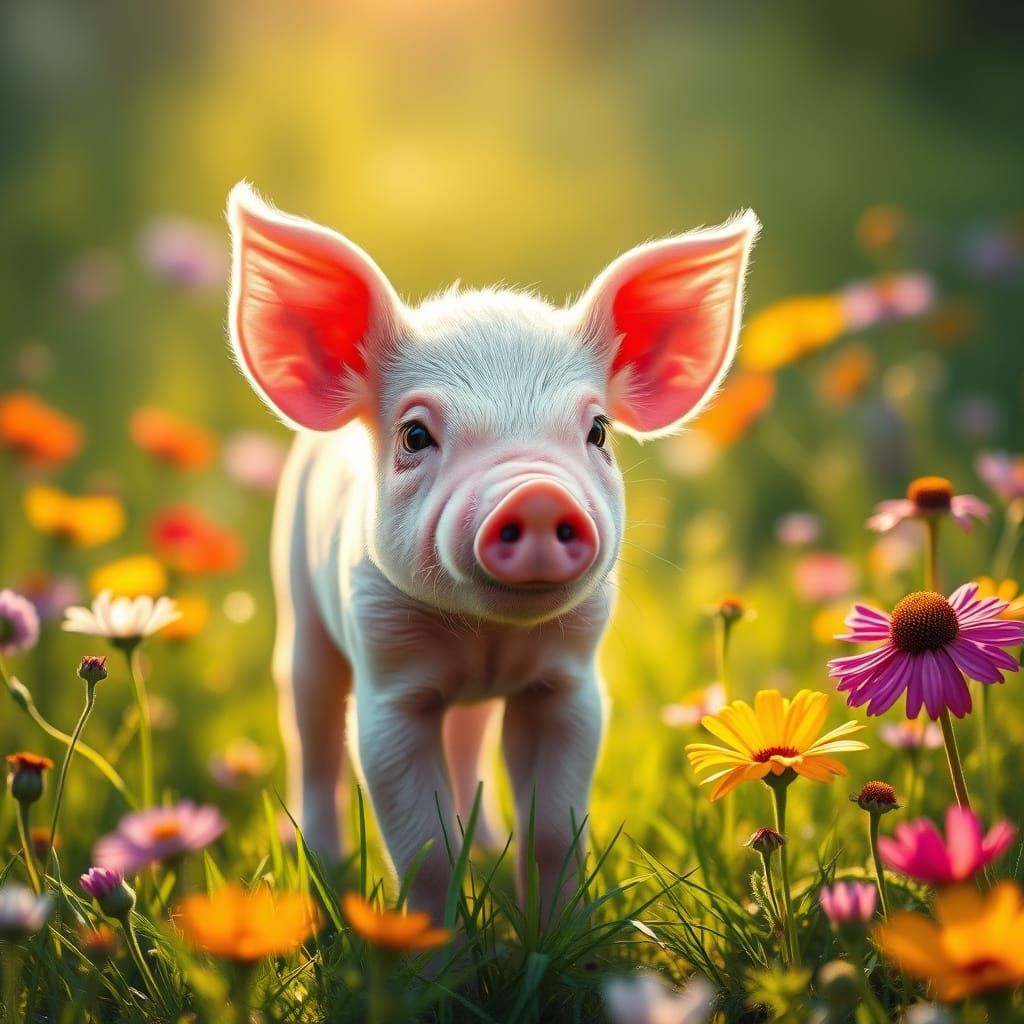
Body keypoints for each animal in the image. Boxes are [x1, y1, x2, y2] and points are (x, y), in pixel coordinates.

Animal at [226, 182, 759, 923]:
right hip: (299, 609)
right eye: (415, 435)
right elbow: (422, 848)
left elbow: (554, 832)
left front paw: (554, 935)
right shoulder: (386, 684)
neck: (486, 639)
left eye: (598, 430)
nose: (535, 493)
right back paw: (325, 866)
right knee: (312, 736)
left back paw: (483, 846)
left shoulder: (571, 683)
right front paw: (433, 952)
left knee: (468, 741)